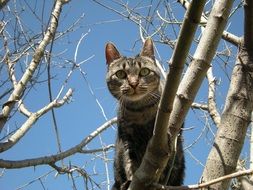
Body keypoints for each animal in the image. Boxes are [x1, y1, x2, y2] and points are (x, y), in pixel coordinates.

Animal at [105, 38, 184, 190]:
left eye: (145, 71)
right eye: (120, 74)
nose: (133, 83)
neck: (140, 111)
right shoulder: (127, 139)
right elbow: (130, 163)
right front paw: (130, 180)